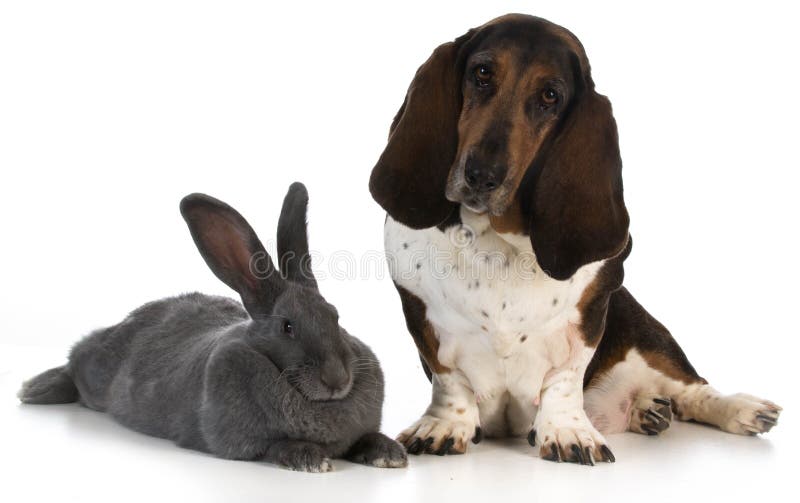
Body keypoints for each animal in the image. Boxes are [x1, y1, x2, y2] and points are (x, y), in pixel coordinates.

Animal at [18, 183, 406, 474]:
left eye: (335, 316)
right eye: (287, 327)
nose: (337, 380)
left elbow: (368, 437)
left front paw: (390, 453)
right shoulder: (240, 441)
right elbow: (275, 446)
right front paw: (310, 458)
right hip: (95, 369)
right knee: (73, 361)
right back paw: (35, 388)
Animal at [368, 13, 780, 466]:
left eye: (550, 96)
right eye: (482, 72)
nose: (481, 175)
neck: (497, 241)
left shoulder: (591, 312)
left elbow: (566, 378)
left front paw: (567, 431)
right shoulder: (421, 315)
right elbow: (449, 380)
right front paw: (444, 425)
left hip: (645, 334)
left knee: (692, 389)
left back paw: (740, 409)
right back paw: (647, 410)